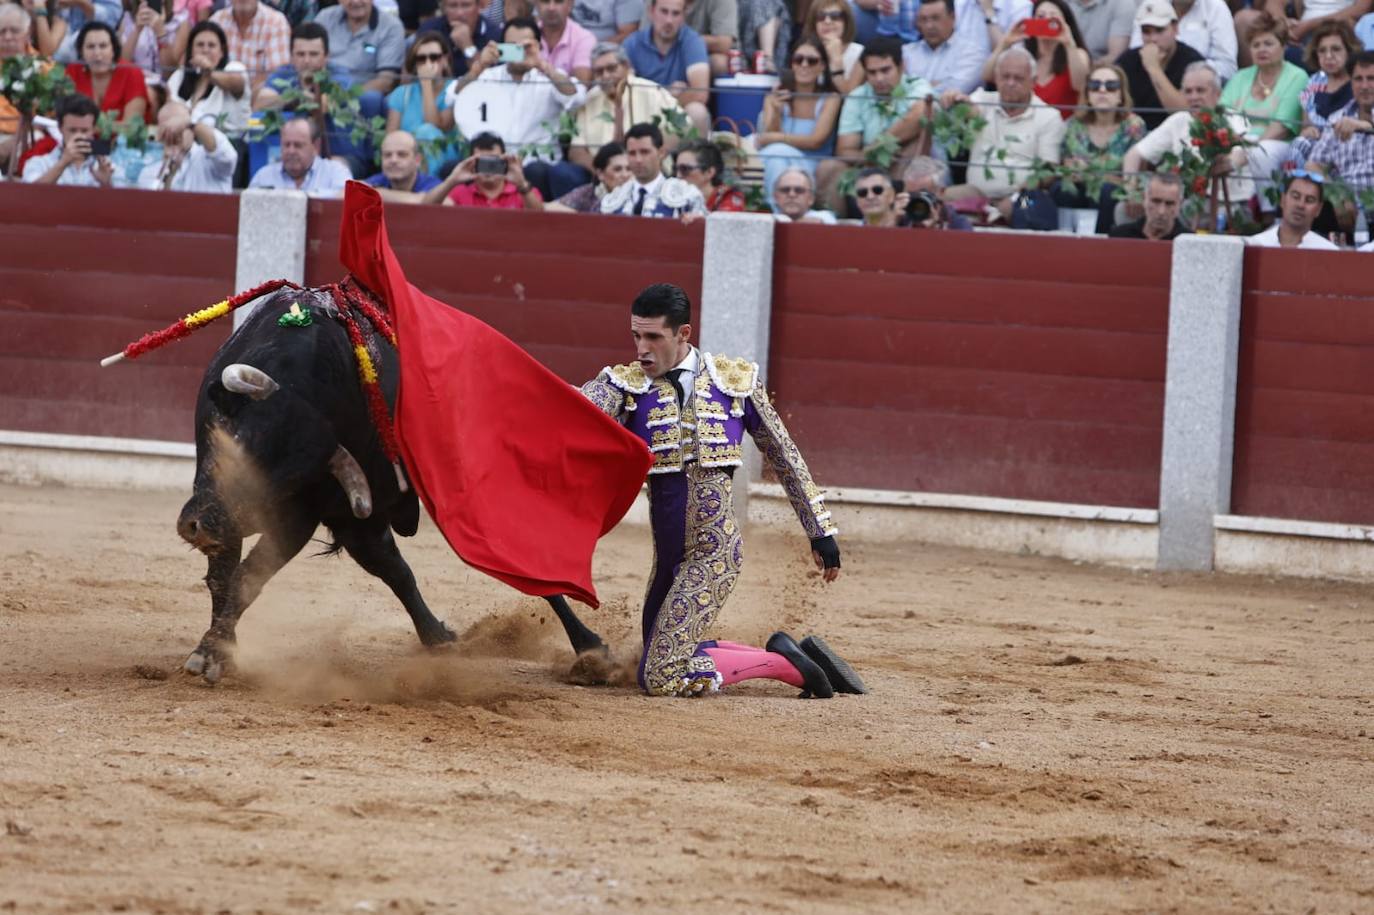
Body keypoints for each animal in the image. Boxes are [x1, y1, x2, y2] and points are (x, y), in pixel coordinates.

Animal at [174, 288, 604, 681]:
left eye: (292, 478)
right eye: (238, 442)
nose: (200, 526)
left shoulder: (311, 512)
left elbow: (248, 578)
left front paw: (214, 652)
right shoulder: (224, 495)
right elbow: (225, 577)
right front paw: (219, 649)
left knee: (519, 559)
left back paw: (591, 650)